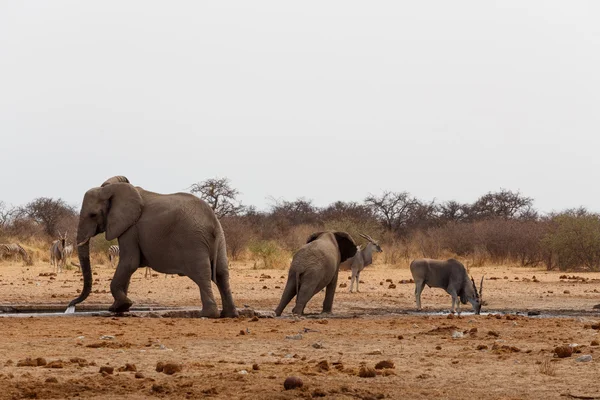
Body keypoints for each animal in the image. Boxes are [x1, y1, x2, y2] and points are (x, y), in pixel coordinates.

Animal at [69, 177, 238, 318]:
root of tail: (213, 221)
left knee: (202, 274)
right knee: (222, 273)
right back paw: (229, 314)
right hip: (221, 240)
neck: (113, 189)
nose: (71, 305)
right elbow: (128, 267)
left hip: (193, 240)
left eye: (93, 215)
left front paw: (123, 305)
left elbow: (129, 262)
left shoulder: (131, 228)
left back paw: (207, 314)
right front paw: (118, 308)